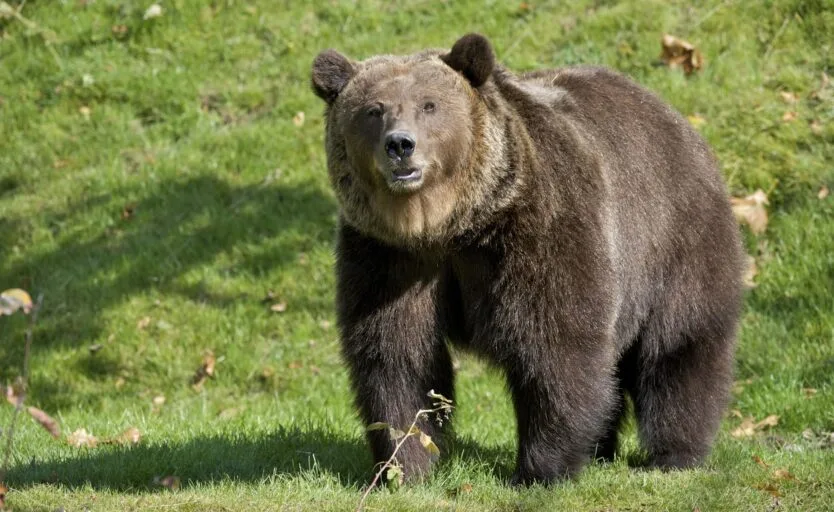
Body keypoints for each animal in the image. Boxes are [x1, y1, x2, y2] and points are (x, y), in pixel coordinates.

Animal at [311, 33, 744, 485]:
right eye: (373, 110)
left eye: (429, 105)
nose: (400, 144)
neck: (450, 224)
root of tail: (677, 119)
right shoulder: (387, 256)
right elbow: (397, 355)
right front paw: (402, 466)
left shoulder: (541, 228)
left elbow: (555, 343)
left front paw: (541, 469)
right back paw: (601, 449)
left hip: (674, 241)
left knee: (679, 348)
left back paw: (674, 454)